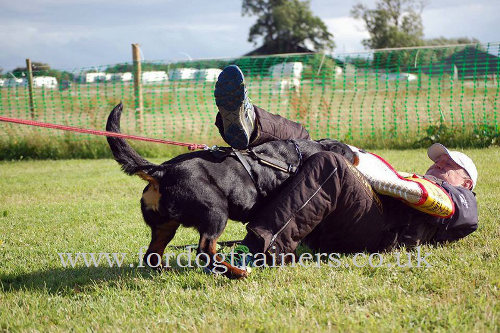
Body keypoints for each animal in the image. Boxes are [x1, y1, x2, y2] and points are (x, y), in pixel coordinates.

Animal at [105, 103, 356, 278]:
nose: (358, 155)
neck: (297, 155)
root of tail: (161, 171)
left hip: (164, 225)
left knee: (152, 254)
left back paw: (166, 272)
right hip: (215, 211)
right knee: (205, 249)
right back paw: (235, 273)